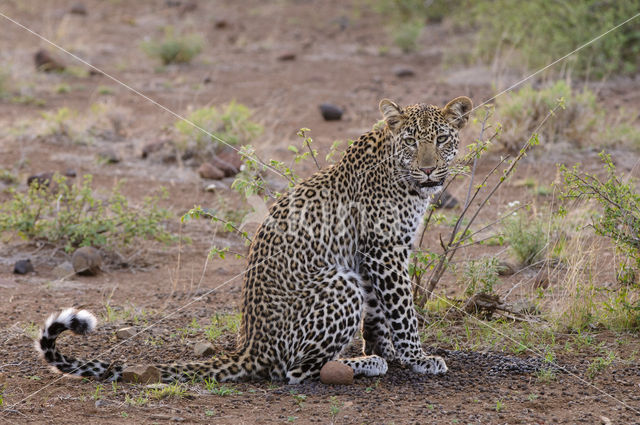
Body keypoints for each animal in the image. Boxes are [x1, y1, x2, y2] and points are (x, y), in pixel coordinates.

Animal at [37, 97, 472, 384]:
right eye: (412, 141)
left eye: (442, 139)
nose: (429, 169)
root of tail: (250, 348)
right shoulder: (385, 249)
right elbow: (403, 309)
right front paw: (416, 357)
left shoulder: (371, 255)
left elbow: (381, 312)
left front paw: (387, 350)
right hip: (338, 284)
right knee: (293, 371)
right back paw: (360, 367)